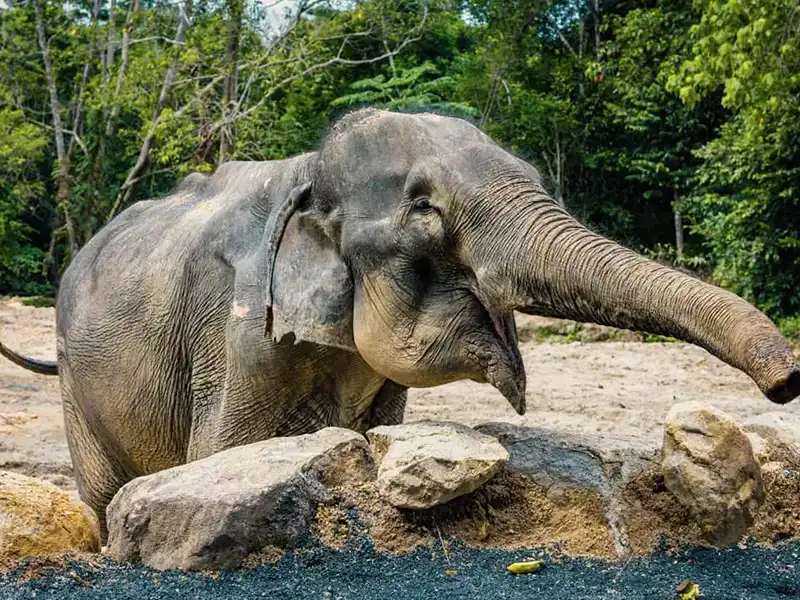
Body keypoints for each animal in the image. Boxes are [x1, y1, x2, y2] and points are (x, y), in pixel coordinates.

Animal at [2, 107, 799, 541]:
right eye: (424, 207)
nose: (789, 378)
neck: (308, 174)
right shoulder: (233, 334)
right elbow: (222, 452)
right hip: (80, 393)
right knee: (102, 491)